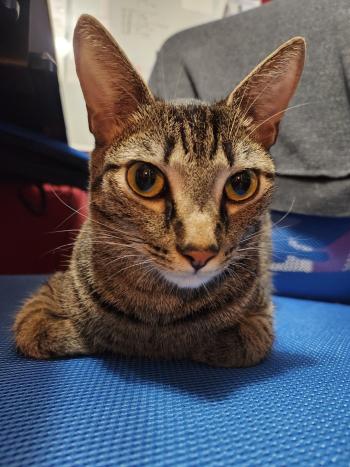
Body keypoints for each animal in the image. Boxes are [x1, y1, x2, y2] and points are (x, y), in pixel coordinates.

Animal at [12, 14, 304, 368]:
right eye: (145, 179)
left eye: (241, 184)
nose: (200, 252)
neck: (160, 312)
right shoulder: (39, 307)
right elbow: (55, 331)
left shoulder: (260, 319)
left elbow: (237, 341)